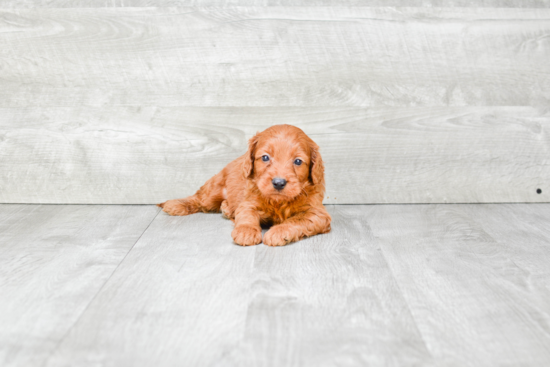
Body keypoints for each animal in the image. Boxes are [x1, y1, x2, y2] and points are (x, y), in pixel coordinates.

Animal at [158, 124, 332, 247]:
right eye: (265, 157)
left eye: (298, 161)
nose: (278, 182)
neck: (278, 202)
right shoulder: (249, 202)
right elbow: (246, 215)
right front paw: (245, 232)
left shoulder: (317, 213)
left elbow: (297, 220)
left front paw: (278, 232)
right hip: (213, 190)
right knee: (199, 199)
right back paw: (176, 204)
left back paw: (226, 209)